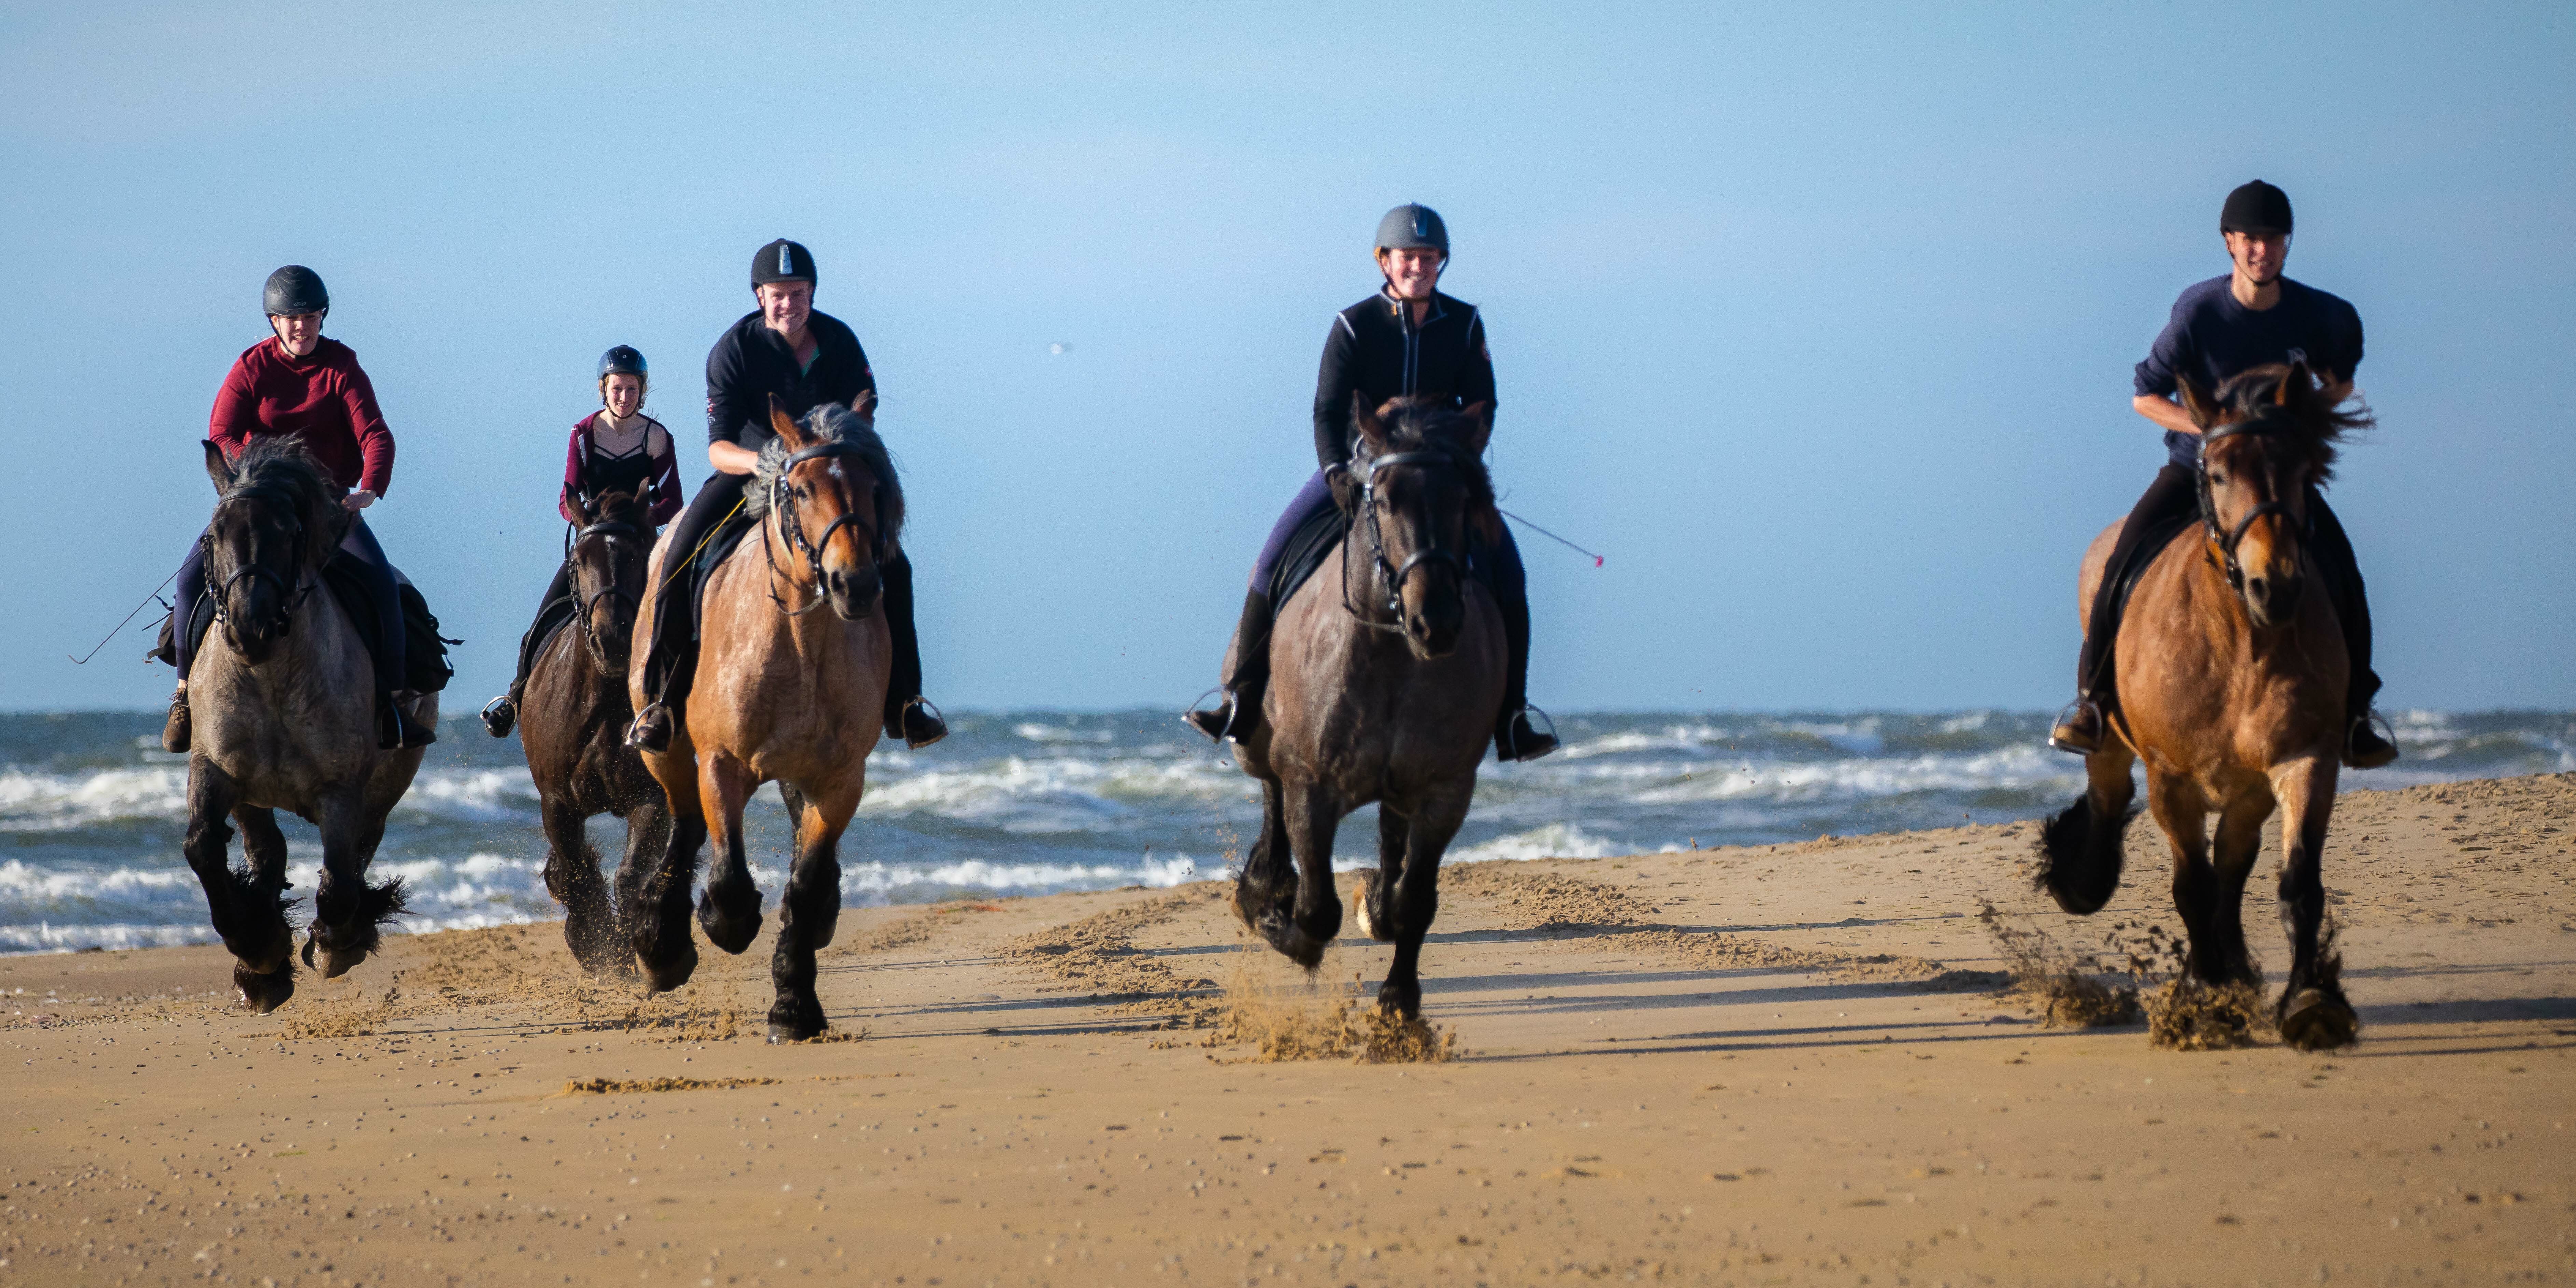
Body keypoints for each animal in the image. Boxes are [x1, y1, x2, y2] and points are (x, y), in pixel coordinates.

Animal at [181, 438, 425, 1010]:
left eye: (290, 531)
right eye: (213, 534)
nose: (250, 627)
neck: (270, 677)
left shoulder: (342, 789)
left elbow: (338, 883)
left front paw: (332, 946)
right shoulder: (216, 769)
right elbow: (202, 846)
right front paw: (258, 949)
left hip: (380, 792)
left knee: (351, 861)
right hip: (254, 797)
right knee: (268, 852)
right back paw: (263, 961)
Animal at [515, 484, 669, 973]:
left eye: (641, 555)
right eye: (580, 560)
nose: (613, 639)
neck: (606, 699)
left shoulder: (652, 798)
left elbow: (631, 875)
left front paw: (624, 950)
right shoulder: (558, 803)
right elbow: (576, 873)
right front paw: (594, 945)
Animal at [626, 389, 901, 1035]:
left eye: (875, 486)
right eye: (799, 490)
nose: (855, 585)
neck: (802, 643)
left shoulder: (839, 780)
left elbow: (805, 885)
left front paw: (794, 1004)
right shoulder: (721, 763)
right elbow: (727, 876)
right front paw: (722, 924)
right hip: (665, 746)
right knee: (684, 823)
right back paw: (661, 945)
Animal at [1226, 391, 1504, 1015]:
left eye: (1465, 499)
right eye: (1382, 499)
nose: (1435, 620)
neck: (1391, 655)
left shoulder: (1444, 790)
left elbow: (1414, 899)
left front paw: (1400, 996)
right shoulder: (1311, 782)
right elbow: (1316, 910)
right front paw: (1276, 919)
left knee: (1390, 840)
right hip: (1257, 740)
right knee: (1270, 791)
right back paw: (1263, 890)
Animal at [2030, 358, 2370, 1051]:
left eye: (2301, 470)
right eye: (2216, 473)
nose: (2276, 586)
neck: (2238, 636)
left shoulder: (2302, 761)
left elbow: (2293, 884)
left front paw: (2310, 1000)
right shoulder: (2172, 778)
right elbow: (2190, 886)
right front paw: (2203, 1003)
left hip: (2247, 789)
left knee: (2232, 869)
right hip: (2111, 741)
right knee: (2110, 801)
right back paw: (2085, 881)